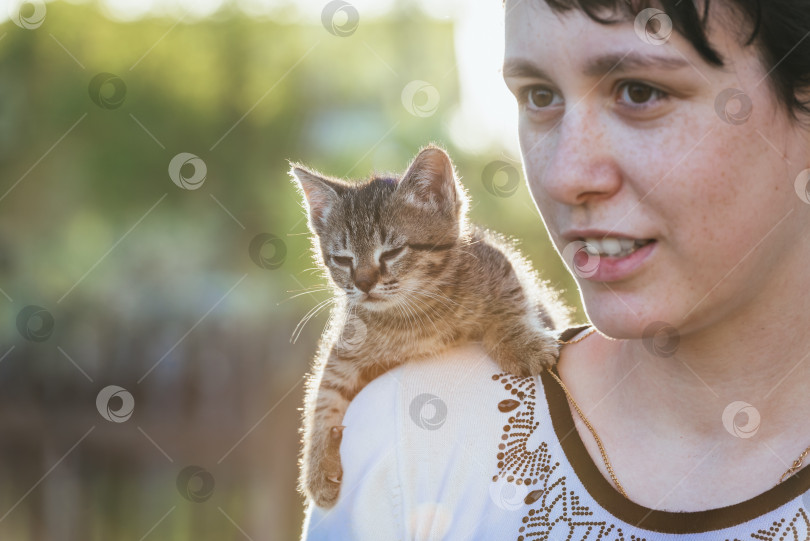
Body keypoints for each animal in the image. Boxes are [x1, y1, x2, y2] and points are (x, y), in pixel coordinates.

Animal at [290, 142, 568, 506]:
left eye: (391, 252)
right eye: (342, 259)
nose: (363, 284)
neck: (411, 315)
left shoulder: (502, 269)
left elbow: (512, 308)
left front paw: (523, 344)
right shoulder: (346, 348)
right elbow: (324, 395)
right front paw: (317, 465)